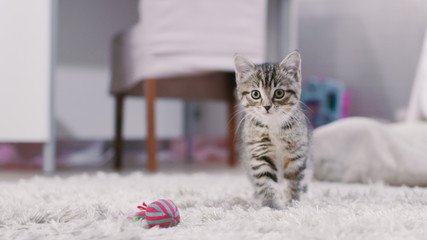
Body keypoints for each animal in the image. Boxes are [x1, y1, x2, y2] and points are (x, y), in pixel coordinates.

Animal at [236, 51, 312, 209]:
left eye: (279, 93)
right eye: (255, 94)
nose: (267, 106)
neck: (274, 125)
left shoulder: (296, 153)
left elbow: (294, 180)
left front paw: (293, 203)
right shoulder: (259, 153)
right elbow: (266, 181)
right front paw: (271, 206)